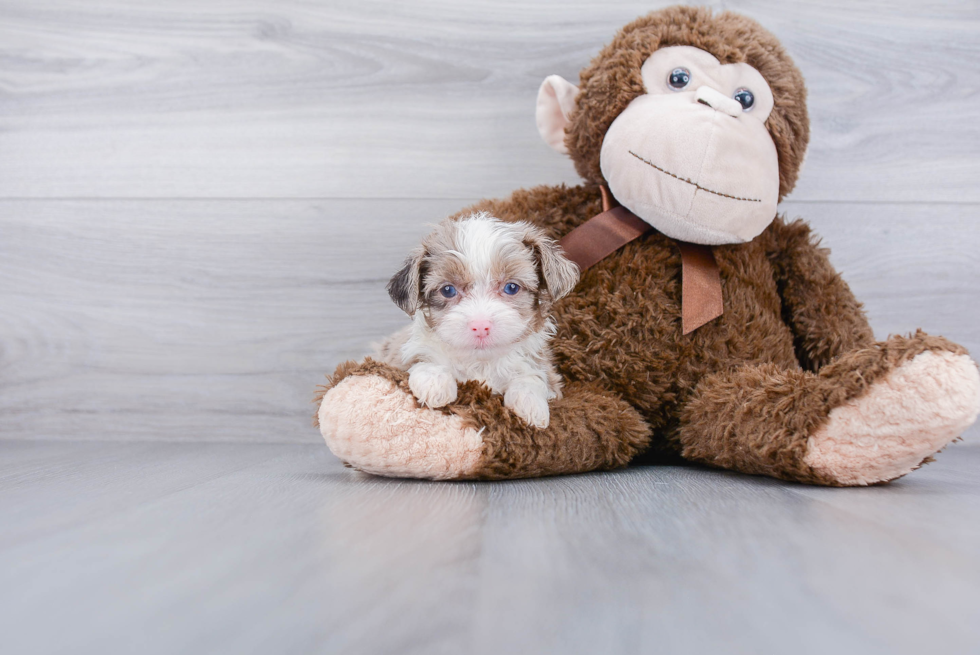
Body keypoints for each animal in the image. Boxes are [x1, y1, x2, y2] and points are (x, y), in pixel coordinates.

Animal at [374, 213, 576, 430]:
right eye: (448, 290)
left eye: (512, 287)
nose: (480, 326)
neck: (480, 362)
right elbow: (421, 359)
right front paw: (434, 380)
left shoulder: (546, 373)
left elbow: (535, 377)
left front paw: (530, 402)